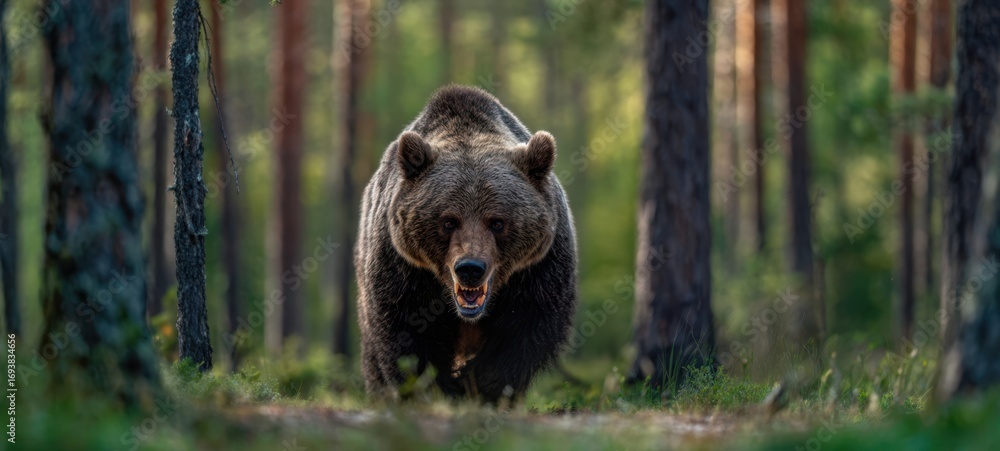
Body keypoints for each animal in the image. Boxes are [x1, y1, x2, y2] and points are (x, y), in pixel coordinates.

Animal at [355, 85, 578, 402]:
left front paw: (482, 387)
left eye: (497, 222)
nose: (470, 268)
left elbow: (522, 334)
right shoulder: (403, 267)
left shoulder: (538, 269)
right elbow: (407, 335)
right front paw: (436, 391)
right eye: (449, 221)